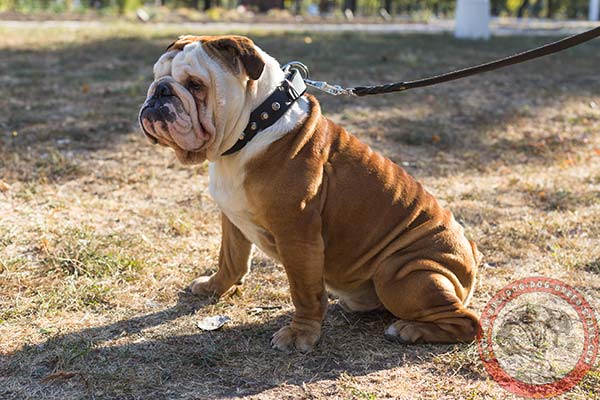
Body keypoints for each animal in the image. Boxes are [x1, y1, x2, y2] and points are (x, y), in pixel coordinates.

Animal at [138, 36, 480, 352]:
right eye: (156, 77)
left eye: (195, 85)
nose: (159, 92)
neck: (255, 125)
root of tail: (472, 252)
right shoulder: (232, 219)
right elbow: (230, 259)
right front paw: (213, 287)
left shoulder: (297, 235)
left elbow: (303, 291)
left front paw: (299, 333)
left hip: (402, 274)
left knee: (468, 322)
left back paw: (410, 329)